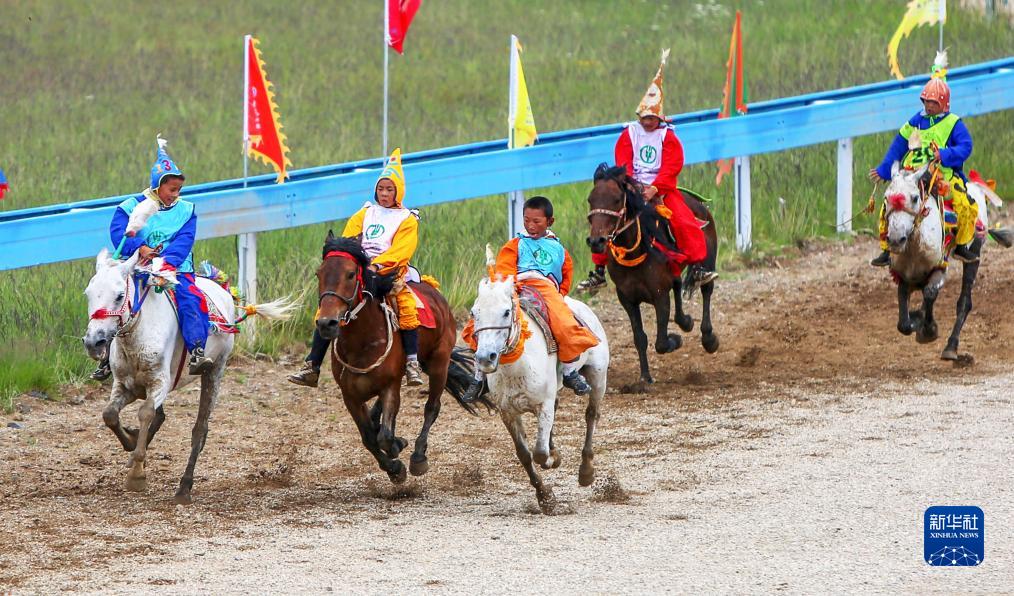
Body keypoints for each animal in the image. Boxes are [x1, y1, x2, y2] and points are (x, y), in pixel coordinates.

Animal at [83, 249, 296, 504]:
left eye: (119, 295)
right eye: (88, 294)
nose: (94, 341)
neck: (139, 334)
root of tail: (221, 288)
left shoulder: (160, 383)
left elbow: (145, 413)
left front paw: (137, 474)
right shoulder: (125, 385)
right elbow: (110, 415)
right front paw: (132, 444)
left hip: (215, 371)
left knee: (199, 429)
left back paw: (184, 487)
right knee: (160, 417)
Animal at [314, 233, 489, 484]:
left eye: (350, 274)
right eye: (319, 274)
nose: (326, 323)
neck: (362, 344)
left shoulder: (390, 386)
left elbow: (384, 436)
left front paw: (398, 459)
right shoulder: (350, 395)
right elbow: (369, 436)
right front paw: (393, 465)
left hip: (439, 363)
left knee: (432, 407)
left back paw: (418, 456)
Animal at [466, 246, 609, 514]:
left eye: (506, 312)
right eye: (474, 313)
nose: (484, 357)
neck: (516, 367)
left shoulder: (542, 405)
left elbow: (539, 453)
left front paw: (552, 461)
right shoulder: (508, 413)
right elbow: (525, 454)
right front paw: (545, 496)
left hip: (598, 377)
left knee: (591, 416)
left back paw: (586, 471)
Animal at [586, 163, 719, 384]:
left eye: (616, 199)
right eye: (591, 200)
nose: (597, 241)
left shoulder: (659, 294)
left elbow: (662, 342)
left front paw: (676, 339)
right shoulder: (627, 298)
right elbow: (640, 337)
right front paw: (645, 377)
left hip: (708, 259)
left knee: (706, 290)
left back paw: (709, 338)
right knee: (678, 285)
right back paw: (685, 321)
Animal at [883, 162, 1011, 359]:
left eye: (914, 198)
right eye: (886, 198)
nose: (896, 239)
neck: (915, 249)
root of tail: (978, 187)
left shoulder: (940, 269)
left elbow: (930, 293)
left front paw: (928, 330)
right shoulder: (902, 276)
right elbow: (903, 323)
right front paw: (916, 320)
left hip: (974, 254)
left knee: (964, 302)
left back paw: (951, 346)